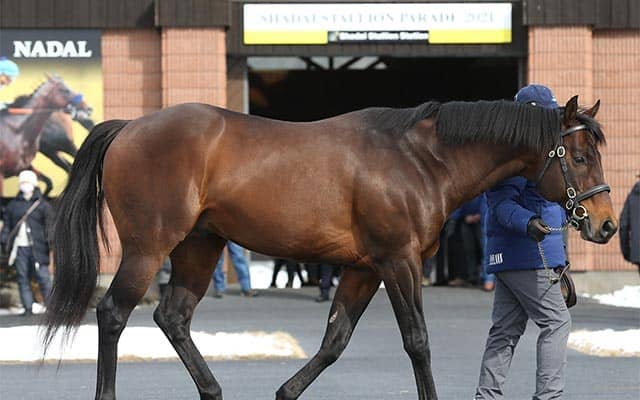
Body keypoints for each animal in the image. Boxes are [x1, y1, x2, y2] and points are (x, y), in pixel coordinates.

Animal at [43, 95, 617, 400]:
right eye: (580, 157)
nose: (607, 225)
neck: (418, 159)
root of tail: (129, 128)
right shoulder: (398, 261)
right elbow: (417, 341)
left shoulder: (364, 268)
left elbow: (335, 341)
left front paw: (284, 392)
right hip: (149, 246)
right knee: (114, 313)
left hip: (199, 246)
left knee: (173, 316)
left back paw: (213, 390)